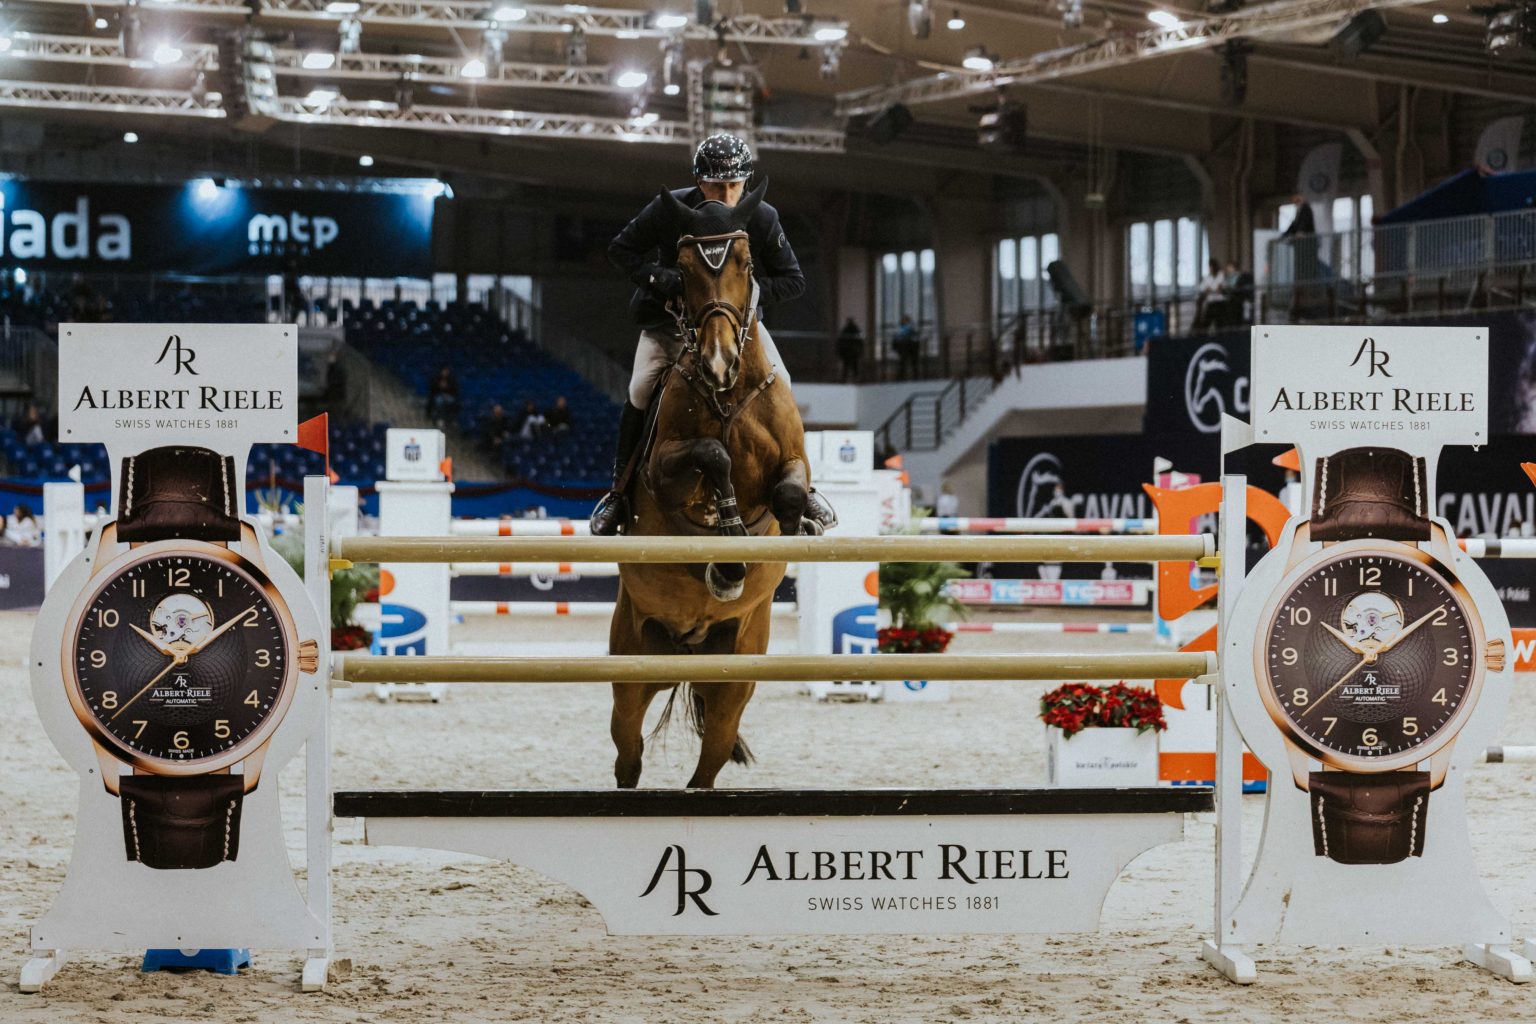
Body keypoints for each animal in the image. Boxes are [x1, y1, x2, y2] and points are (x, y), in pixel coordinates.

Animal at [608, 180, 815, 789]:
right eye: (680, 268)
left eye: (746, 263)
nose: (719, 362)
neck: (728, 395)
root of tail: (688, 648)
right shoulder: (661, 471)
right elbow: (713, 454)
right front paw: (726, 546)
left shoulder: (793, 460)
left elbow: (788, 493)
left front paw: (784, 532)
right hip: (632, 667)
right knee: (628, 752)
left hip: (732, 681)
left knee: (712, 756)